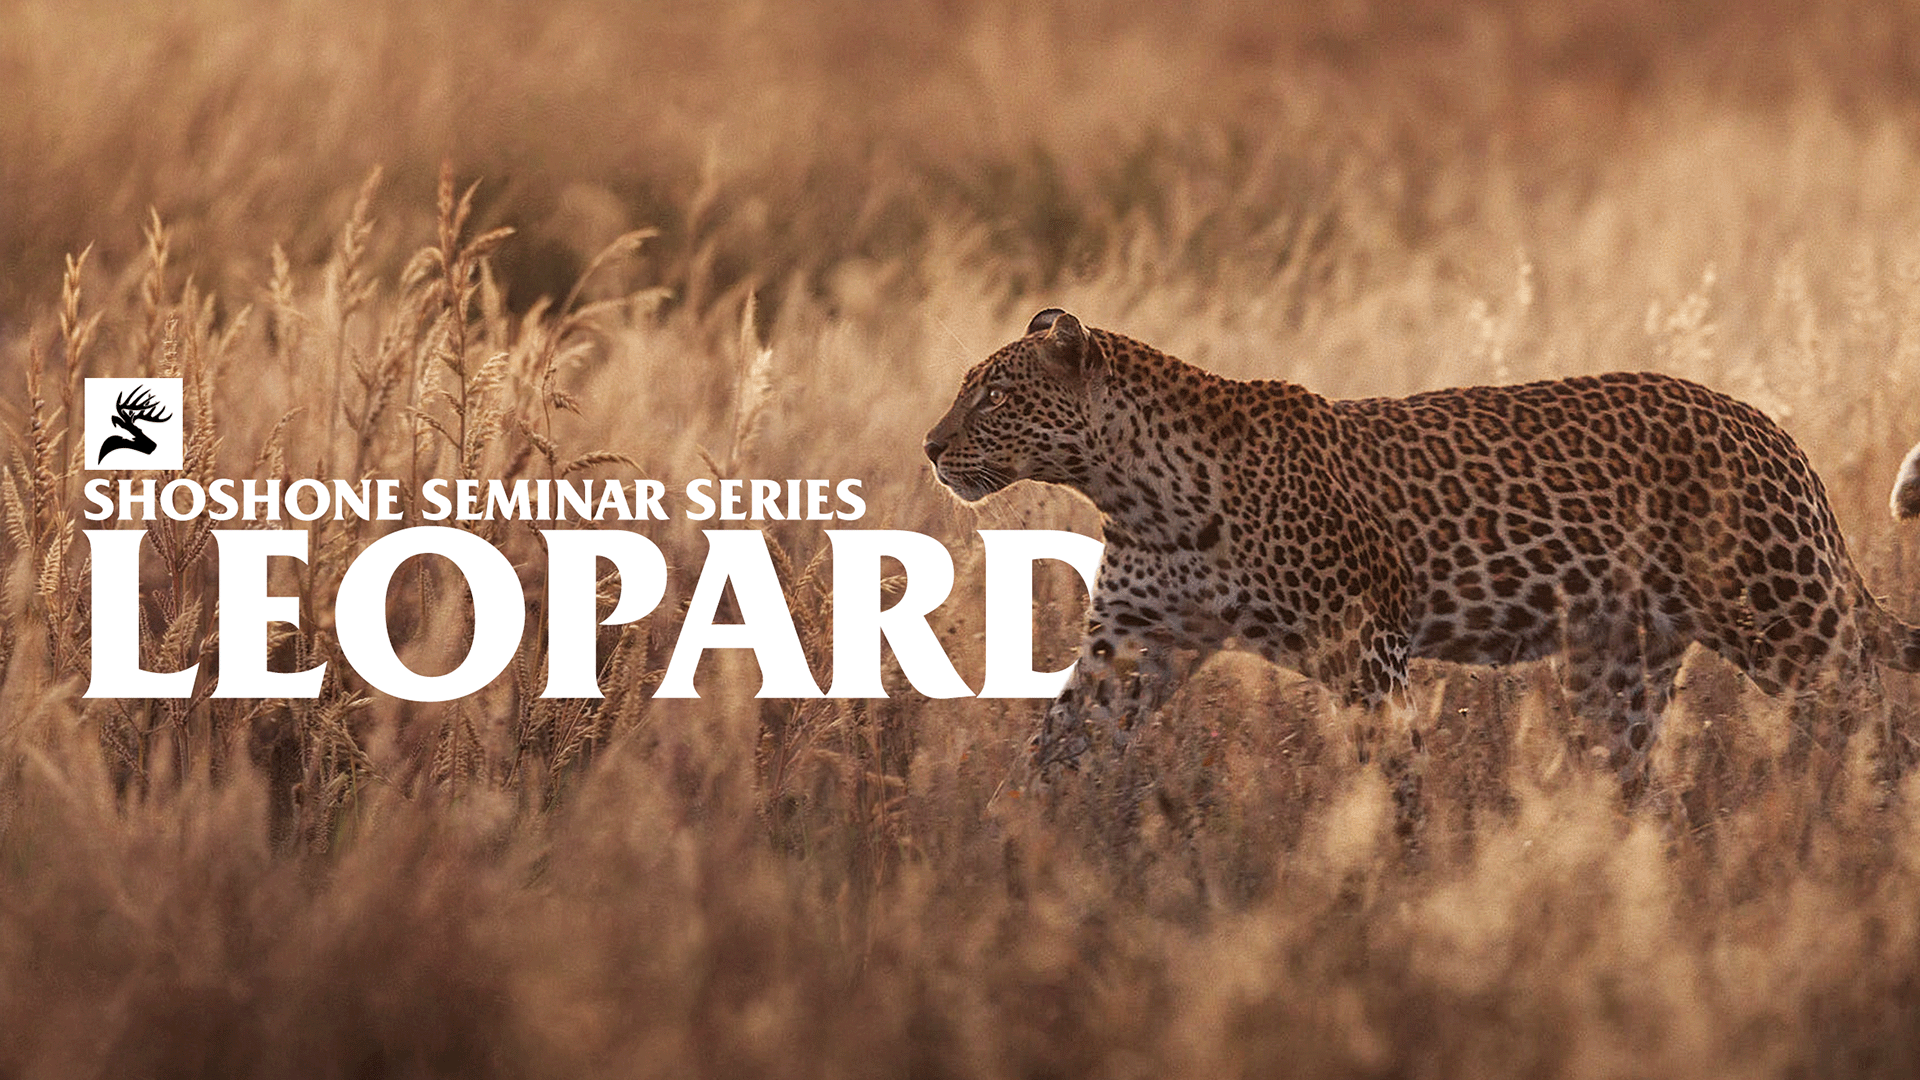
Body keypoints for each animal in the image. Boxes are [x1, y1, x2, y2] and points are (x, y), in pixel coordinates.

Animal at [924, 307, 1920, 797]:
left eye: (993, 398)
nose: (930, 447)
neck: (1139, 490)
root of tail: (1769, 426)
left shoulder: (1367, 652)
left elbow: (1391, 780)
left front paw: (1389, 890)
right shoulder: (1133, 645)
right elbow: (1057, 747)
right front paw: (1011, 855)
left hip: (1789, 620)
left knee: (1880, 725)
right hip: (1617, 665)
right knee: (1635, 779)